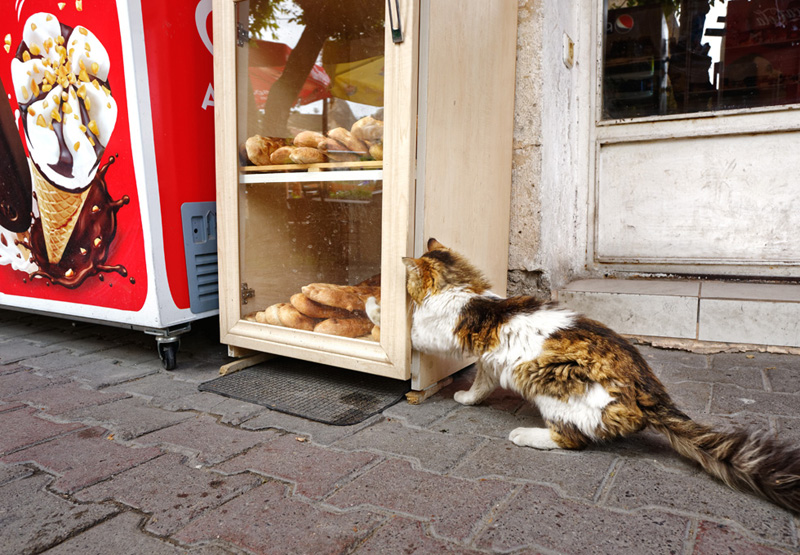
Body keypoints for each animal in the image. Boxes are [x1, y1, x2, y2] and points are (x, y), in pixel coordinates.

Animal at [406, 237, 800, 516]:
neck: (463, 289)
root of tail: (648, 390)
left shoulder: (440, 334)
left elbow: (416, 333)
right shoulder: (490, 364)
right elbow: (480, 385)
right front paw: (467, 398)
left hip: (552, 385)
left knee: (571, 439)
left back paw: (524, 435)